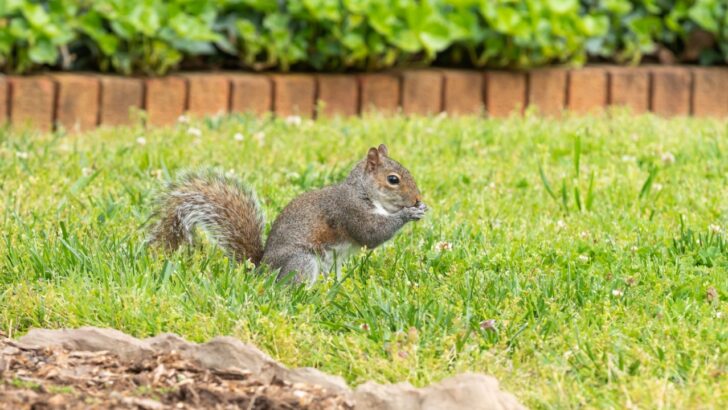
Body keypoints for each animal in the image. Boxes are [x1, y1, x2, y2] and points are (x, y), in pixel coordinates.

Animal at [148, 144, 428, 284]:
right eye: (393, 179)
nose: (417, 198)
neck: (363, 192)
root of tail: (260, 270)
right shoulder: (348, 210)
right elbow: (371, 234)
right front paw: (408, 214)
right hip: (302, 261)